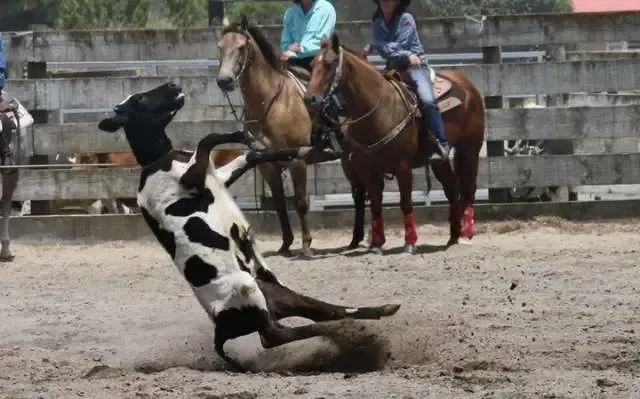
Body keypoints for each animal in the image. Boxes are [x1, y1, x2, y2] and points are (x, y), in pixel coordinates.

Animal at [97, 83, 400, 374]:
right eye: (139, 100)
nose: (172, 85)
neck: (158, 160)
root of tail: (220, 327)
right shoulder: (190, 179)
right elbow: (208, 140)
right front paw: (244, 134)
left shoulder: (217, 175)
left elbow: (253, 155)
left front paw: (314, 148)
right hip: (248, 291)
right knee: (275, 336)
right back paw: (339, 333)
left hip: (280, 295)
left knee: (323, 313)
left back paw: (377, 311)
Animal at [215, 16, 364, 256]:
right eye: (220, 47)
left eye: (241, 47)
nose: (225, 81)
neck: (272, 103)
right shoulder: (267, 165)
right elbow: (279, 204)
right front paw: (286, 244)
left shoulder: (297, 161)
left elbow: (300, 203)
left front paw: (306, 244)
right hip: (347, 158)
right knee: (359, 192)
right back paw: (355, 239)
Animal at [304, 34, 484, 253]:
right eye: (312, 64)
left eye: (329, 64)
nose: (309, 98)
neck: (379, 109)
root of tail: (468, 85)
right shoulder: (368, 169)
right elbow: (375, 203)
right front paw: (376, 243)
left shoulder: (402, 166)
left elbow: (405, 202)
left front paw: (410, 242)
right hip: (439, 161)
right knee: (452, 188)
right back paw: (453, 237)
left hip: (469, 150)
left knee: (468, 189)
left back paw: (466, 234)